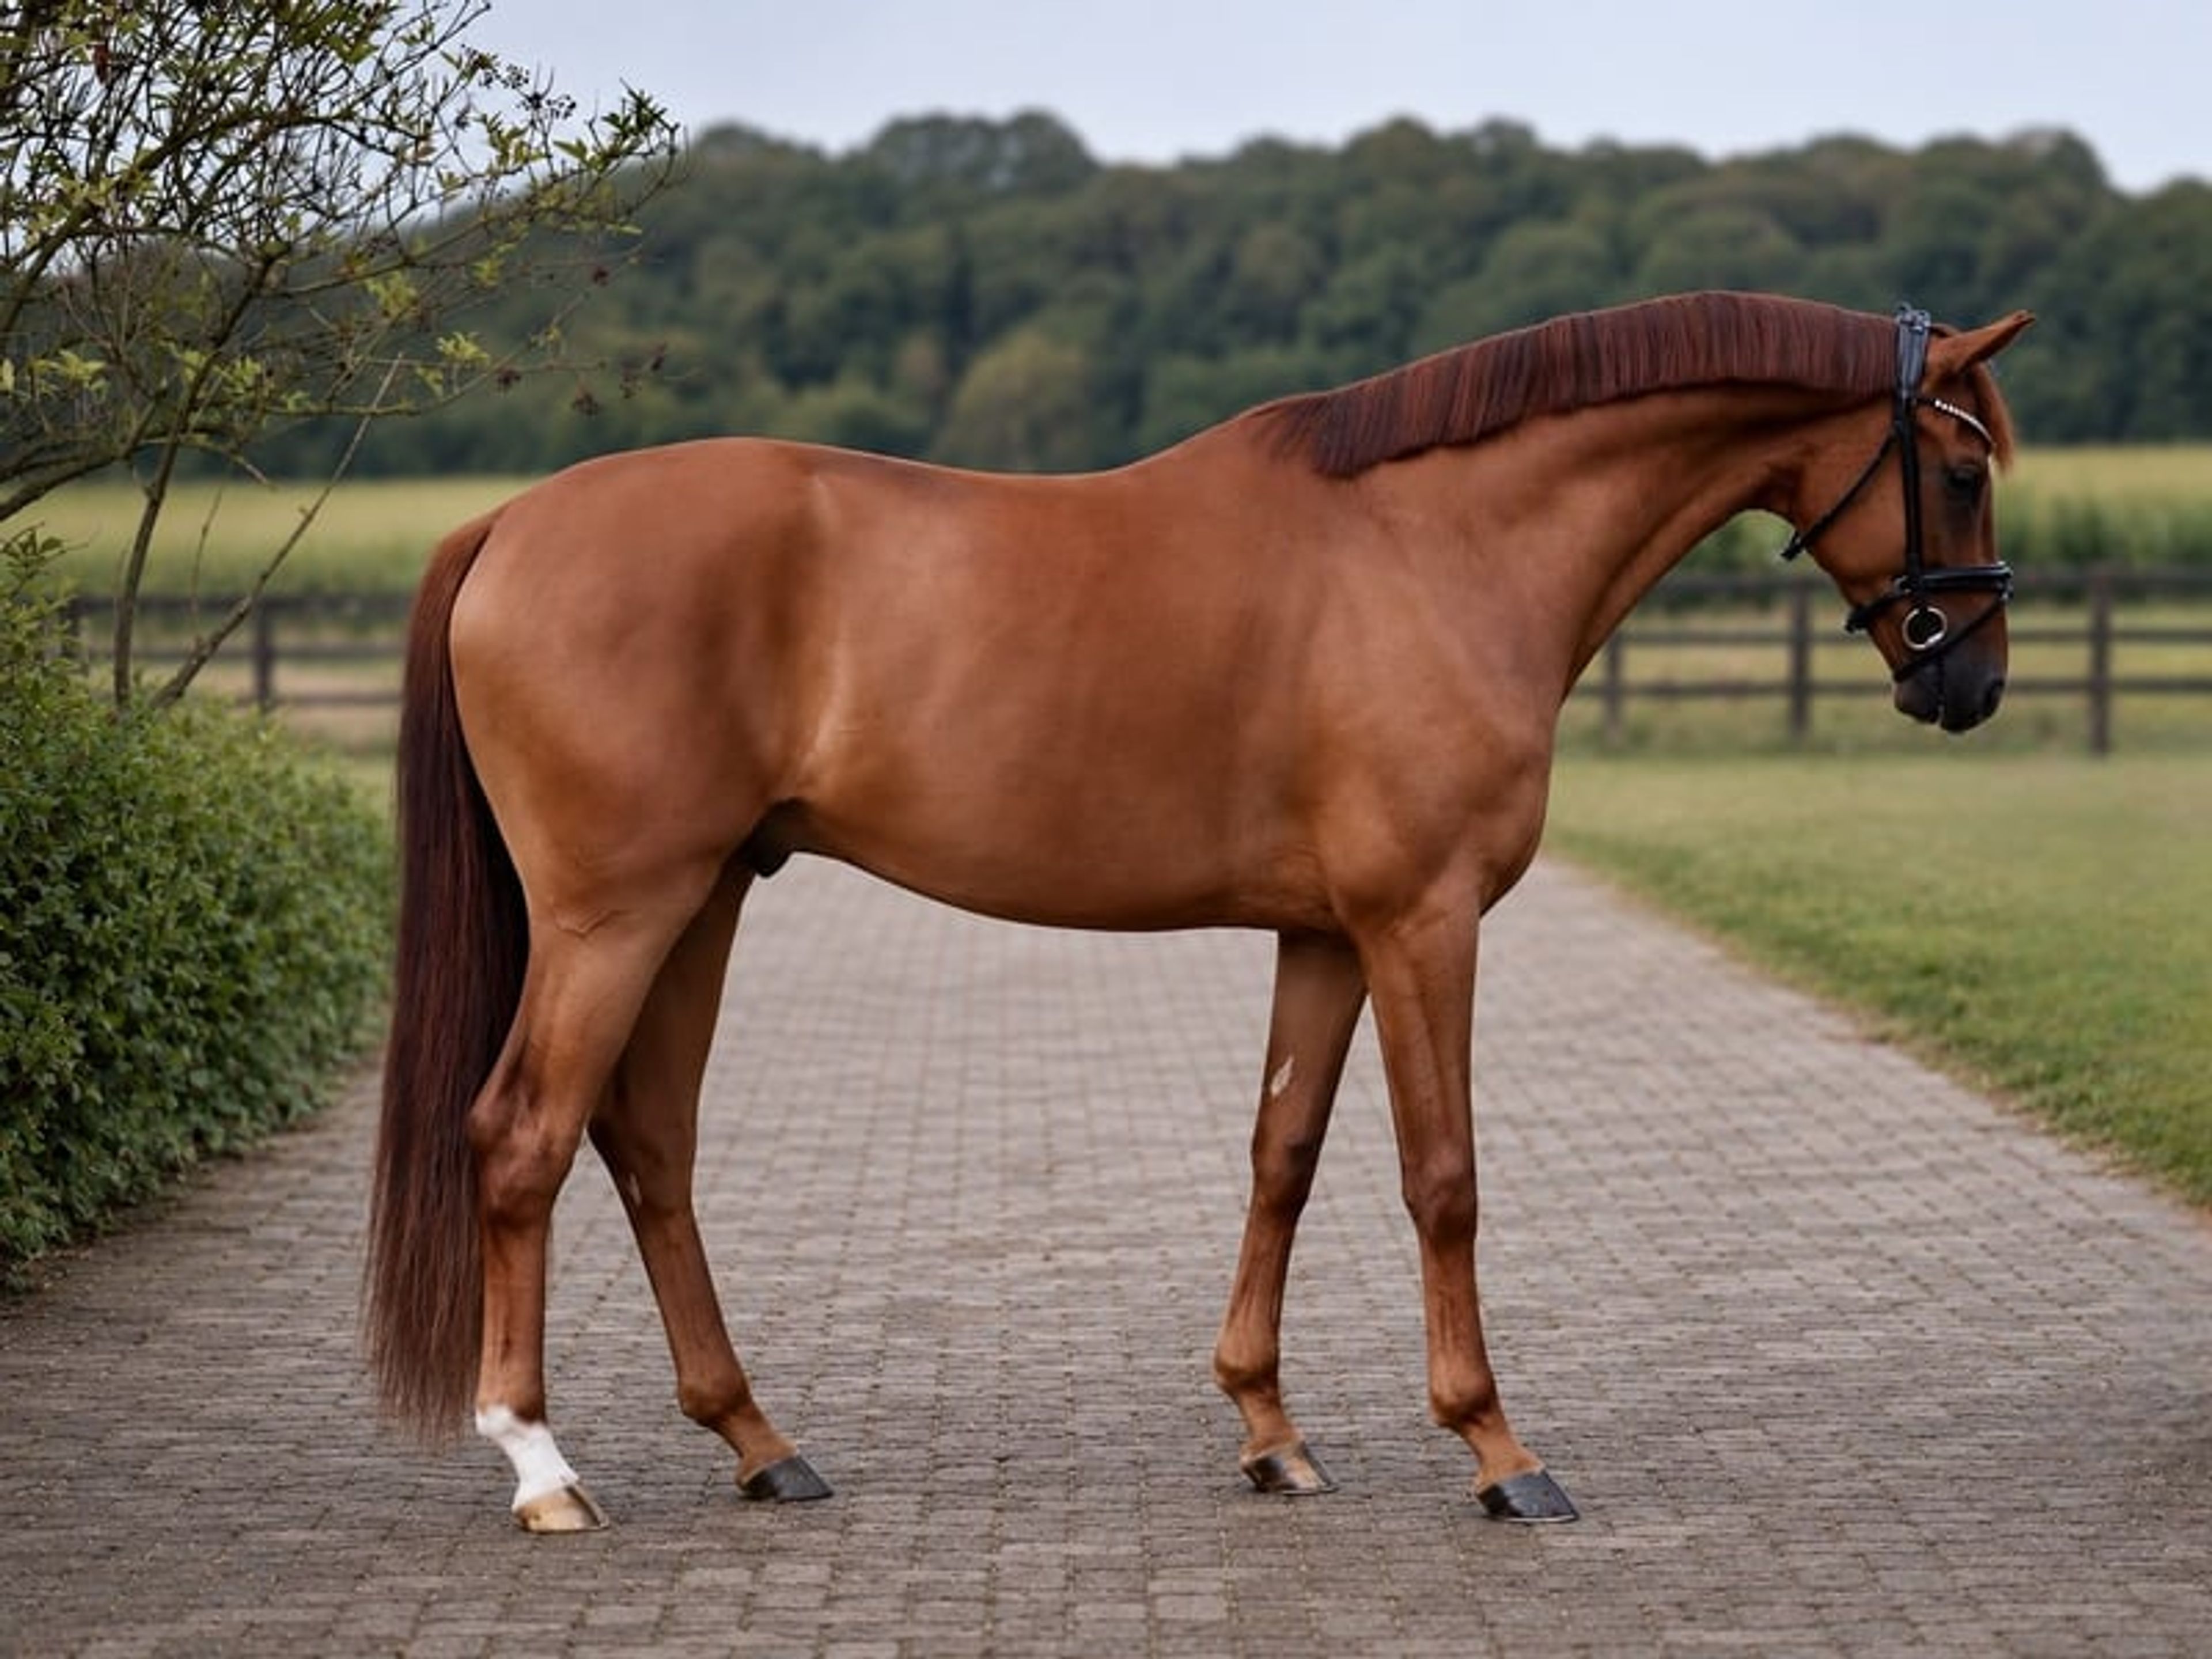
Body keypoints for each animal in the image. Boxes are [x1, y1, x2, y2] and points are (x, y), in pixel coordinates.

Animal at [366, 291, 2031, 1532]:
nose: (1966, 683)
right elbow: (1444, 1177)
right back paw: (543, 1468)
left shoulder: (1328, 934)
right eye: (1958, 471)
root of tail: (507, 526)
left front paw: (1270, 1433)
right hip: (614, 914)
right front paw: (1500, 1453)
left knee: (649, 1143)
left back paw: (760, 1443)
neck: (1435, 545)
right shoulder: (1424, 922)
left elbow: (1281, 1157)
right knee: (521, 1136)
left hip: (702, 898)